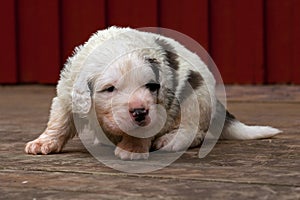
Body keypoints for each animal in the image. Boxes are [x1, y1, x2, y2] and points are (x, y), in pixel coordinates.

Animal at [24, 26, 280, 160]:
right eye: (109, 89)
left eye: (151, 86)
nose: (139, 112)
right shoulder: (66, 93)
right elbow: (59, 120)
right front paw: (42, 143)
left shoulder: (162, 104)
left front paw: (132, 150)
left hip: (196, 95)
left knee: (194, 131)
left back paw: (170, 140)